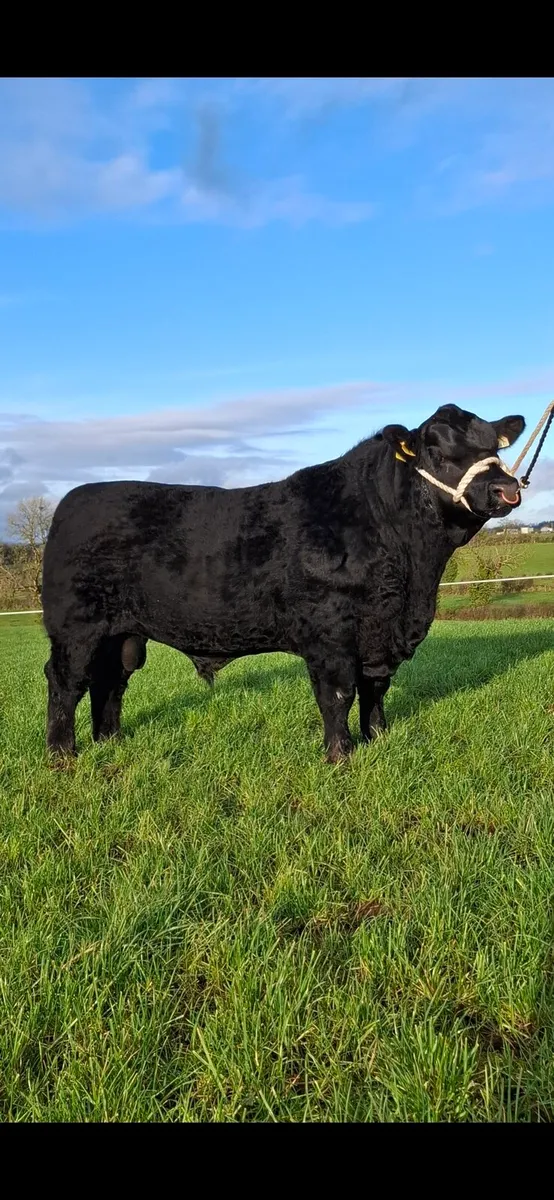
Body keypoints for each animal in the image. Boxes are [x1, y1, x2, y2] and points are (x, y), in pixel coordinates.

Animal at [41, 404, 525, 763]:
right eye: (439, 453)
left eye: (494, 448)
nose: (507, 489)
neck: (413, 575)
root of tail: (72, 500)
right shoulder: (330, 632)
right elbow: (338, 693)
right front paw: (340, 755)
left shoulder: (380, 633)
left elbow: (375, 689)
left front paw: (379, 739)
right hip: (75, 627)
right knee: (66, 680)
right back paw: (63, 754)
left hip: (121, 634)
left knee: (109, 682)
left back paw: (110, 741)